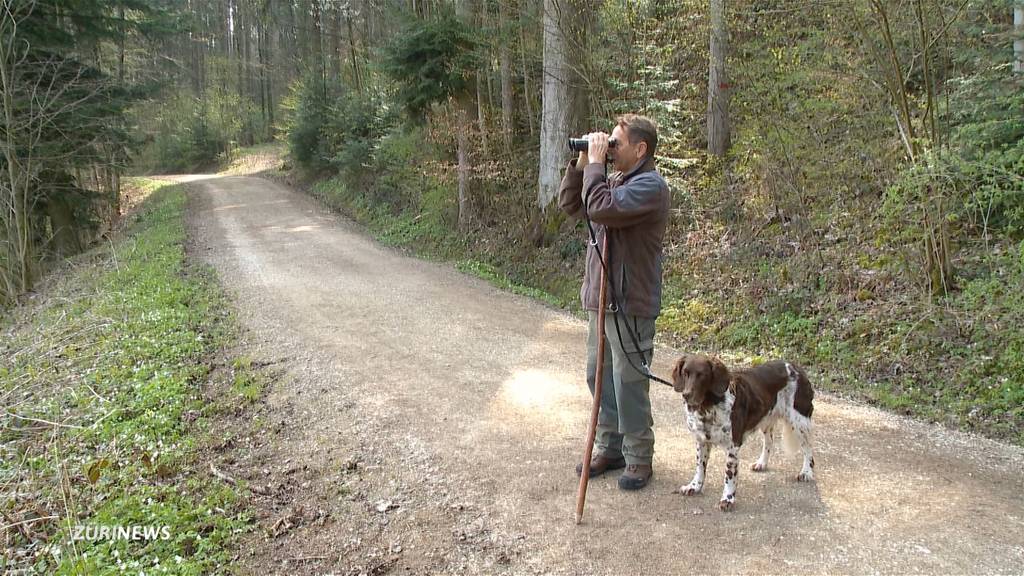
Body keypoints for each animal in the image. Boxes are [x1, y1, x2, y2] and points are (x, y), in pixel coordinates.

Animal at [671, 352, 815, 508]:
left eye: (702, 375)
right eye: (685, 373)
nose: (686, 395)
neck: (708, 406)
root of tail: (796, 367)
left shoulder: (732, 446)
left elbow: (729, 474)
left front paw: (728, 498)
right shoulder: (702, 440)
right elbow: (700, 467)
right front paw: (694, 486)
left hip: (799, 421)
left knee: (808, 449)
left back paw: (807, 472)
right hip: (766, 419)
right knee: (769, 441)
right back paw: (762, 463)